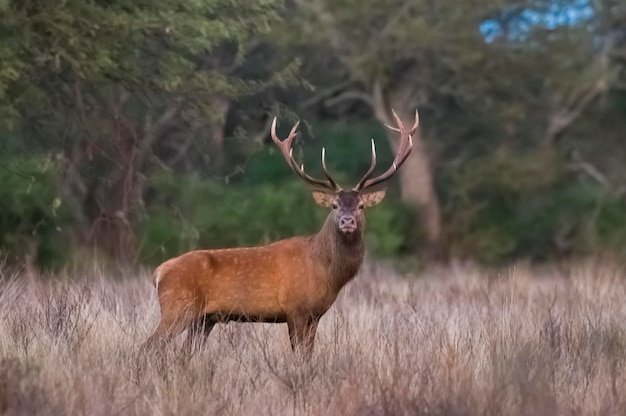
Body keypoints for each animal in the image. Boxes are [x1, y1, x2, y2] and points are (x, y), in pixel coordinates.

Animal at [146, 109, 420, 356]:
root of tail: (158, 272)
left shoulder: (315, 315)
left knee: (185, 353)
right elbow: (299, 356)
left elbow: (308, 356)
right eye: (334, 205)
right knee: (150, 346)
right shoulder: (295, 309)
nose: (347, 220)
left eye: (361, 205)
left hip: (204, 319)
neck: (324, 270)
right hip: (176, 307)